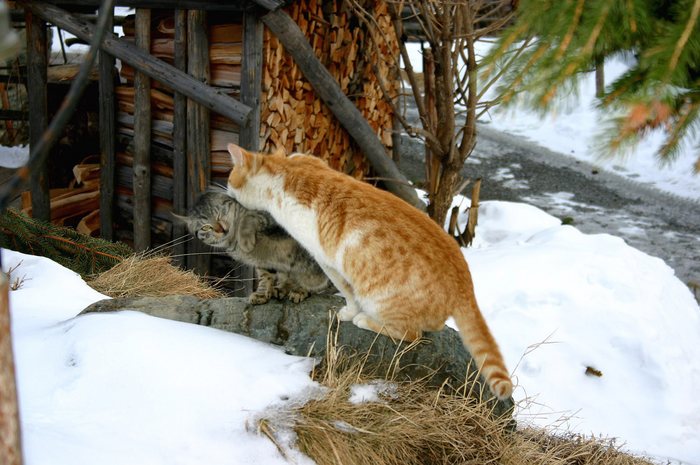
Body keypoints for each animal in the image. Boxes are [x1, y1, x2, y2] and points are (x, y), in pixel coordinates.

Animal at [174, 189, 330, 302]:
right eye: (206, 227)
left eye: (220, 213)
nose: (222, 229)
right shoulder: (266, 260)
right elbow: (265, 275)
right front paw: (262, 293)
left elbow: (251, 216)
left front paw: (246, 239)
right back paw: (282, 288)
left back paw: (300, 290)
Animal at [227, 142, 512, 398]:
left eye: (230, 178)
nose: (226, 188)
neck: (286, 170)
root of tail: (465, 282)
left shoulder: (326, 260)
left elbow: (345, 291)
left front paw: (348, 311)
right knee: (434, 326)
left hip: (380, 301)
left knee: (412, 334)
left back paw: (365, 319)